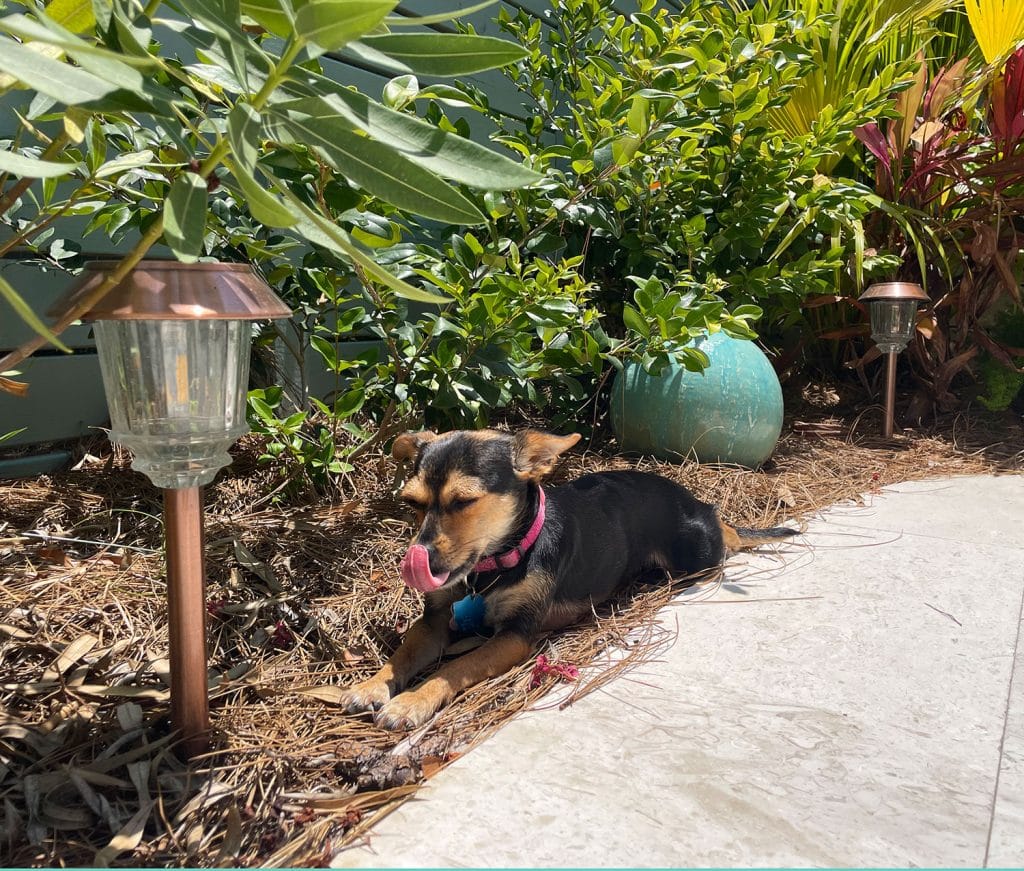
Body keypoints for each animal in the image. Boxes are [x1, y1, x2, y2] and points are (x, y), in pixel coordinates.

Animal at [339, 429, 794, 728]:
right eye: (412, 503)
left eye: (465, 501)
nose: (421, 562)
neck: (491, 568)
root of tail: (698, 502)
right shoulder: (433, 622)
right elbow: (402, 654)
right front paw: (372, 686)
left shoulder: (516, 636)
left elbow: (453, 667)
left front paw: (410, 702)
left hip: (696, 557)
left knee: (722, 546)